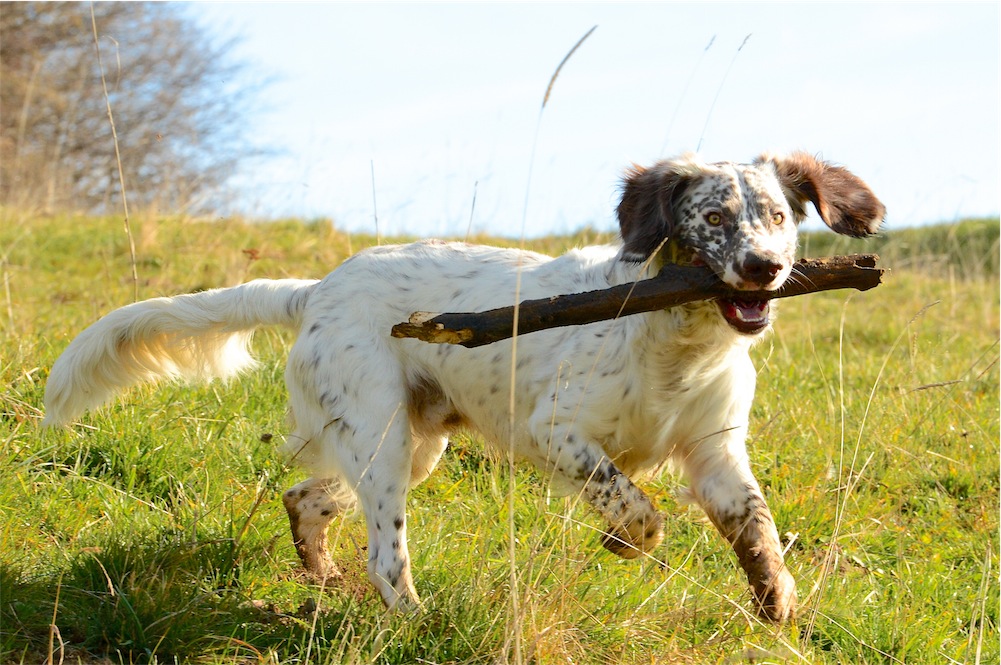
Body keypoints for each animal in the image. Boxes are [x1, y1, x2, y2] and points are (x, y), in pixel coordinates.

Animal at [43, 153, 880, 620]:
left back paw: (319, 573)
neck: (676, 339)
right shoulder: (557, 432)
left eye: (778, 216)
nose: (763, 268)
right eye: (711, 217)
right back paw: (413, 618)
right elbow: (634, 506)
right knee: (385, 554)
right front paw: (622, 537)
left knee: (304, 495)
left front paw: (778, 603)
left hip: (409, 444)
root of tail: (318, 287)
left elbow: (756, 527)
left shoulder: (714, 451)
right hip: (384, 442)